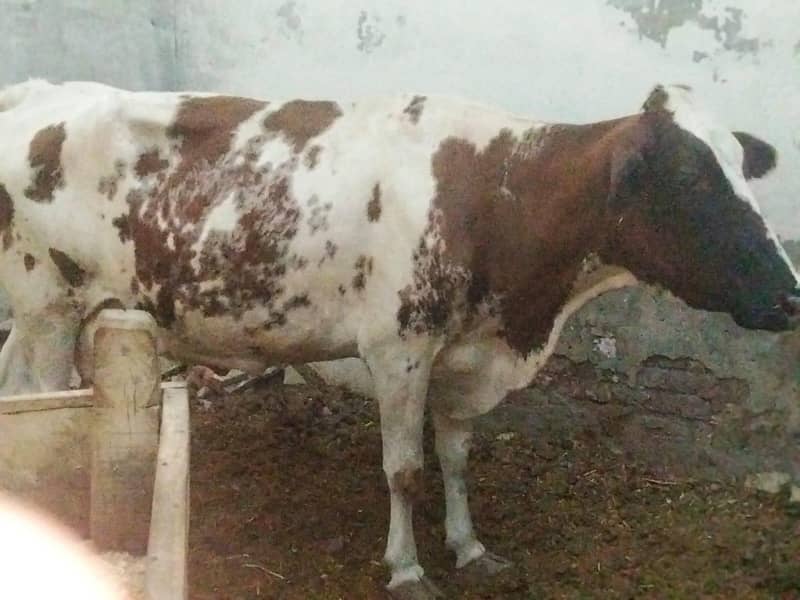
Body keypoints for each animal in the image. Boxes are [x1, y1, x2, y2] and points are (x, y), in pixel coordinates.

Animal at [0, 79, 797, 598]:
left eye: (744, 170)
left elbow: (457, 459)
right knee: (42, 405)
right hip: (48, 310)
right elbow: (405, 470)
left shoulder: (463, 354)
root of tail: (37, 89)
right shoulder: (398, 348)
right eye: (692, 180)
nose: (790, 294)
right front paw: (408, 569)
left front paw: (470, 547)